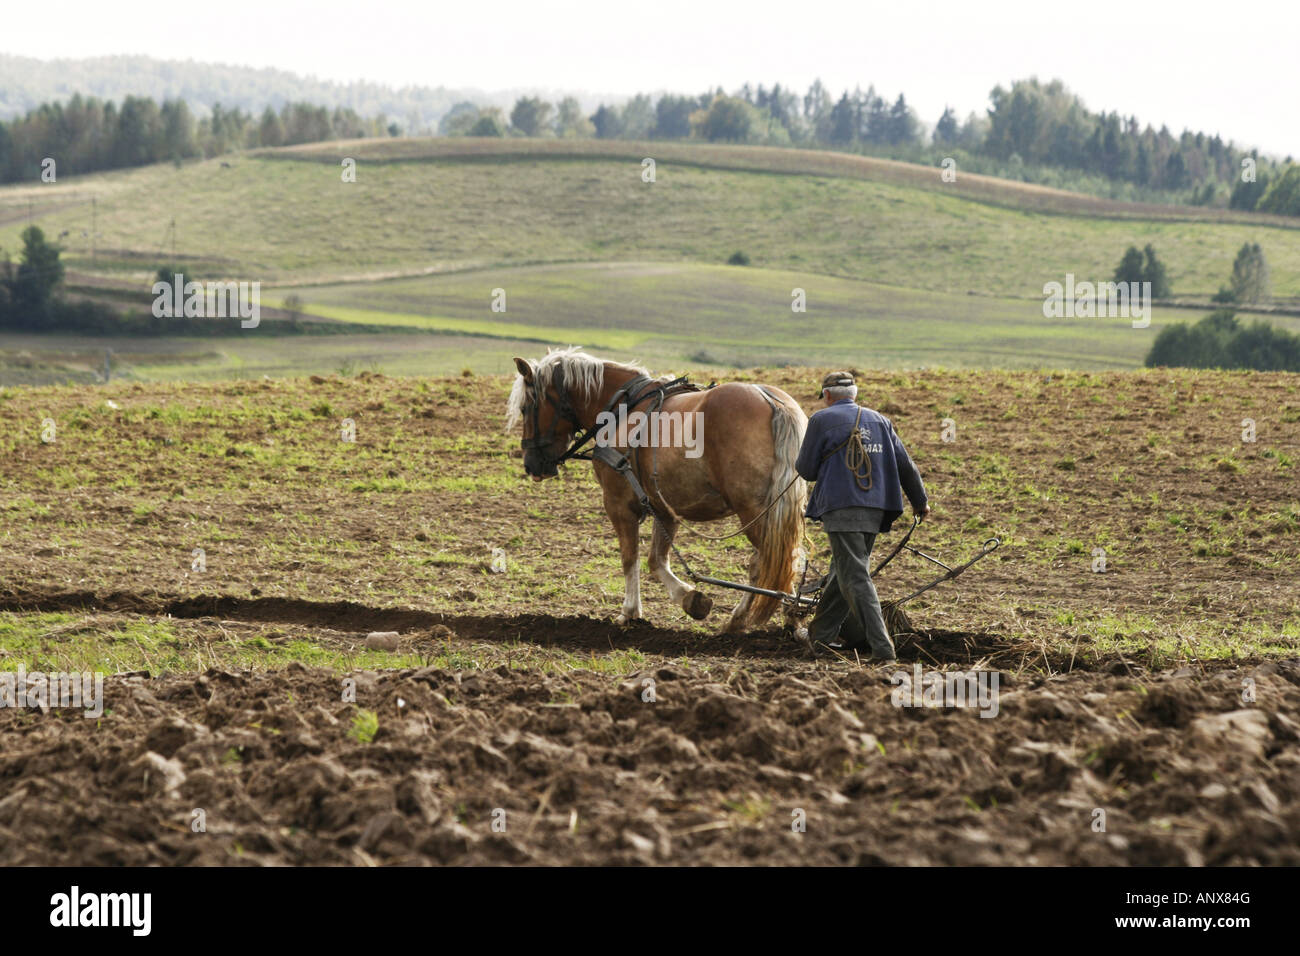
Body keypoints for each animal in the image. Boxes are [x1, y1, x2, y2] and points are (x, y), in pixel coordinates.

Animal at [505, 347, 808, 633]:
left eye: (526, 407)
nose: (532, 466)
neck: (622, 408)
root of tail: (772, 402)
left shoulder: (617, 504)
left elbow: (630, 558)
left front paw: (629, 612)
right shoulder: (664, 508)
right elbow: (656, 560)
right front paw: (690, 598)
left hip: (755, 512)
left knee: (776, 560)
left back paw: (761, 618)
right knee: (784, 560)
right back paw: (781, 617)